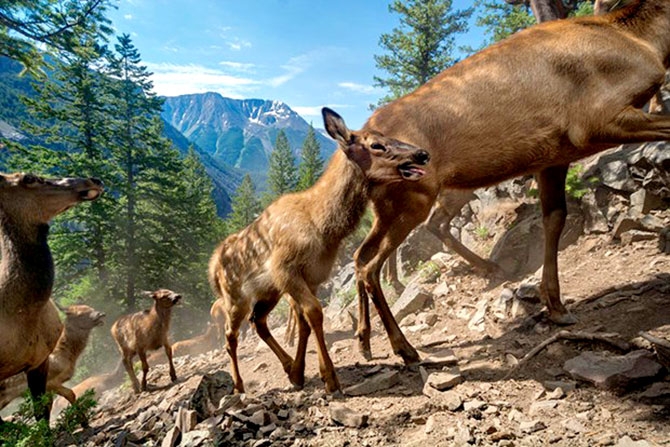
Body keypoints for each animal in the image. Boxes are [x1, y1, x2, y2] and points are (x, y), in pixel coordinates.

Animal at [0, 172, 102, 420]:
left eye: (88, 307)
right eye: (29, 178)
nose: (93, 180)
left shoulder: (38, 364)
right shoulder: (51, 381)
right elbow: (68, 395)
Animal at [210, 108, 430, 396]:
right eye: (376, 145)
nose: (422, 153)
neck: (323, 227)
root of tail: (212, 268)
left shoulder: (312, 276)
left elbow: (304, 321)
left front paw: (299, 372)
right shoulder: (285, 269)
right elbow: (314, 313)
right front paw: (329, 378)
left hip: (268, 293)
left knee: (258, 322)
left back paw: (287, 366)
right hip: (235, 298)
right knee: (230, 336)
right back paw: (238, 386)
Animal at [352, 0, 670, 364]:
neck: (648, 43)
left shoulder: (555, 156)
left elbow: (555, 218)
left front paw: (555, 304)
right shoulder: (597, 120)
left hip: (397, 205)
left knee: (363, 255)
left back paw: (365, 340)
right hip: (416, 198)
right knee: (374, 261)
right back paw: (403, 346)